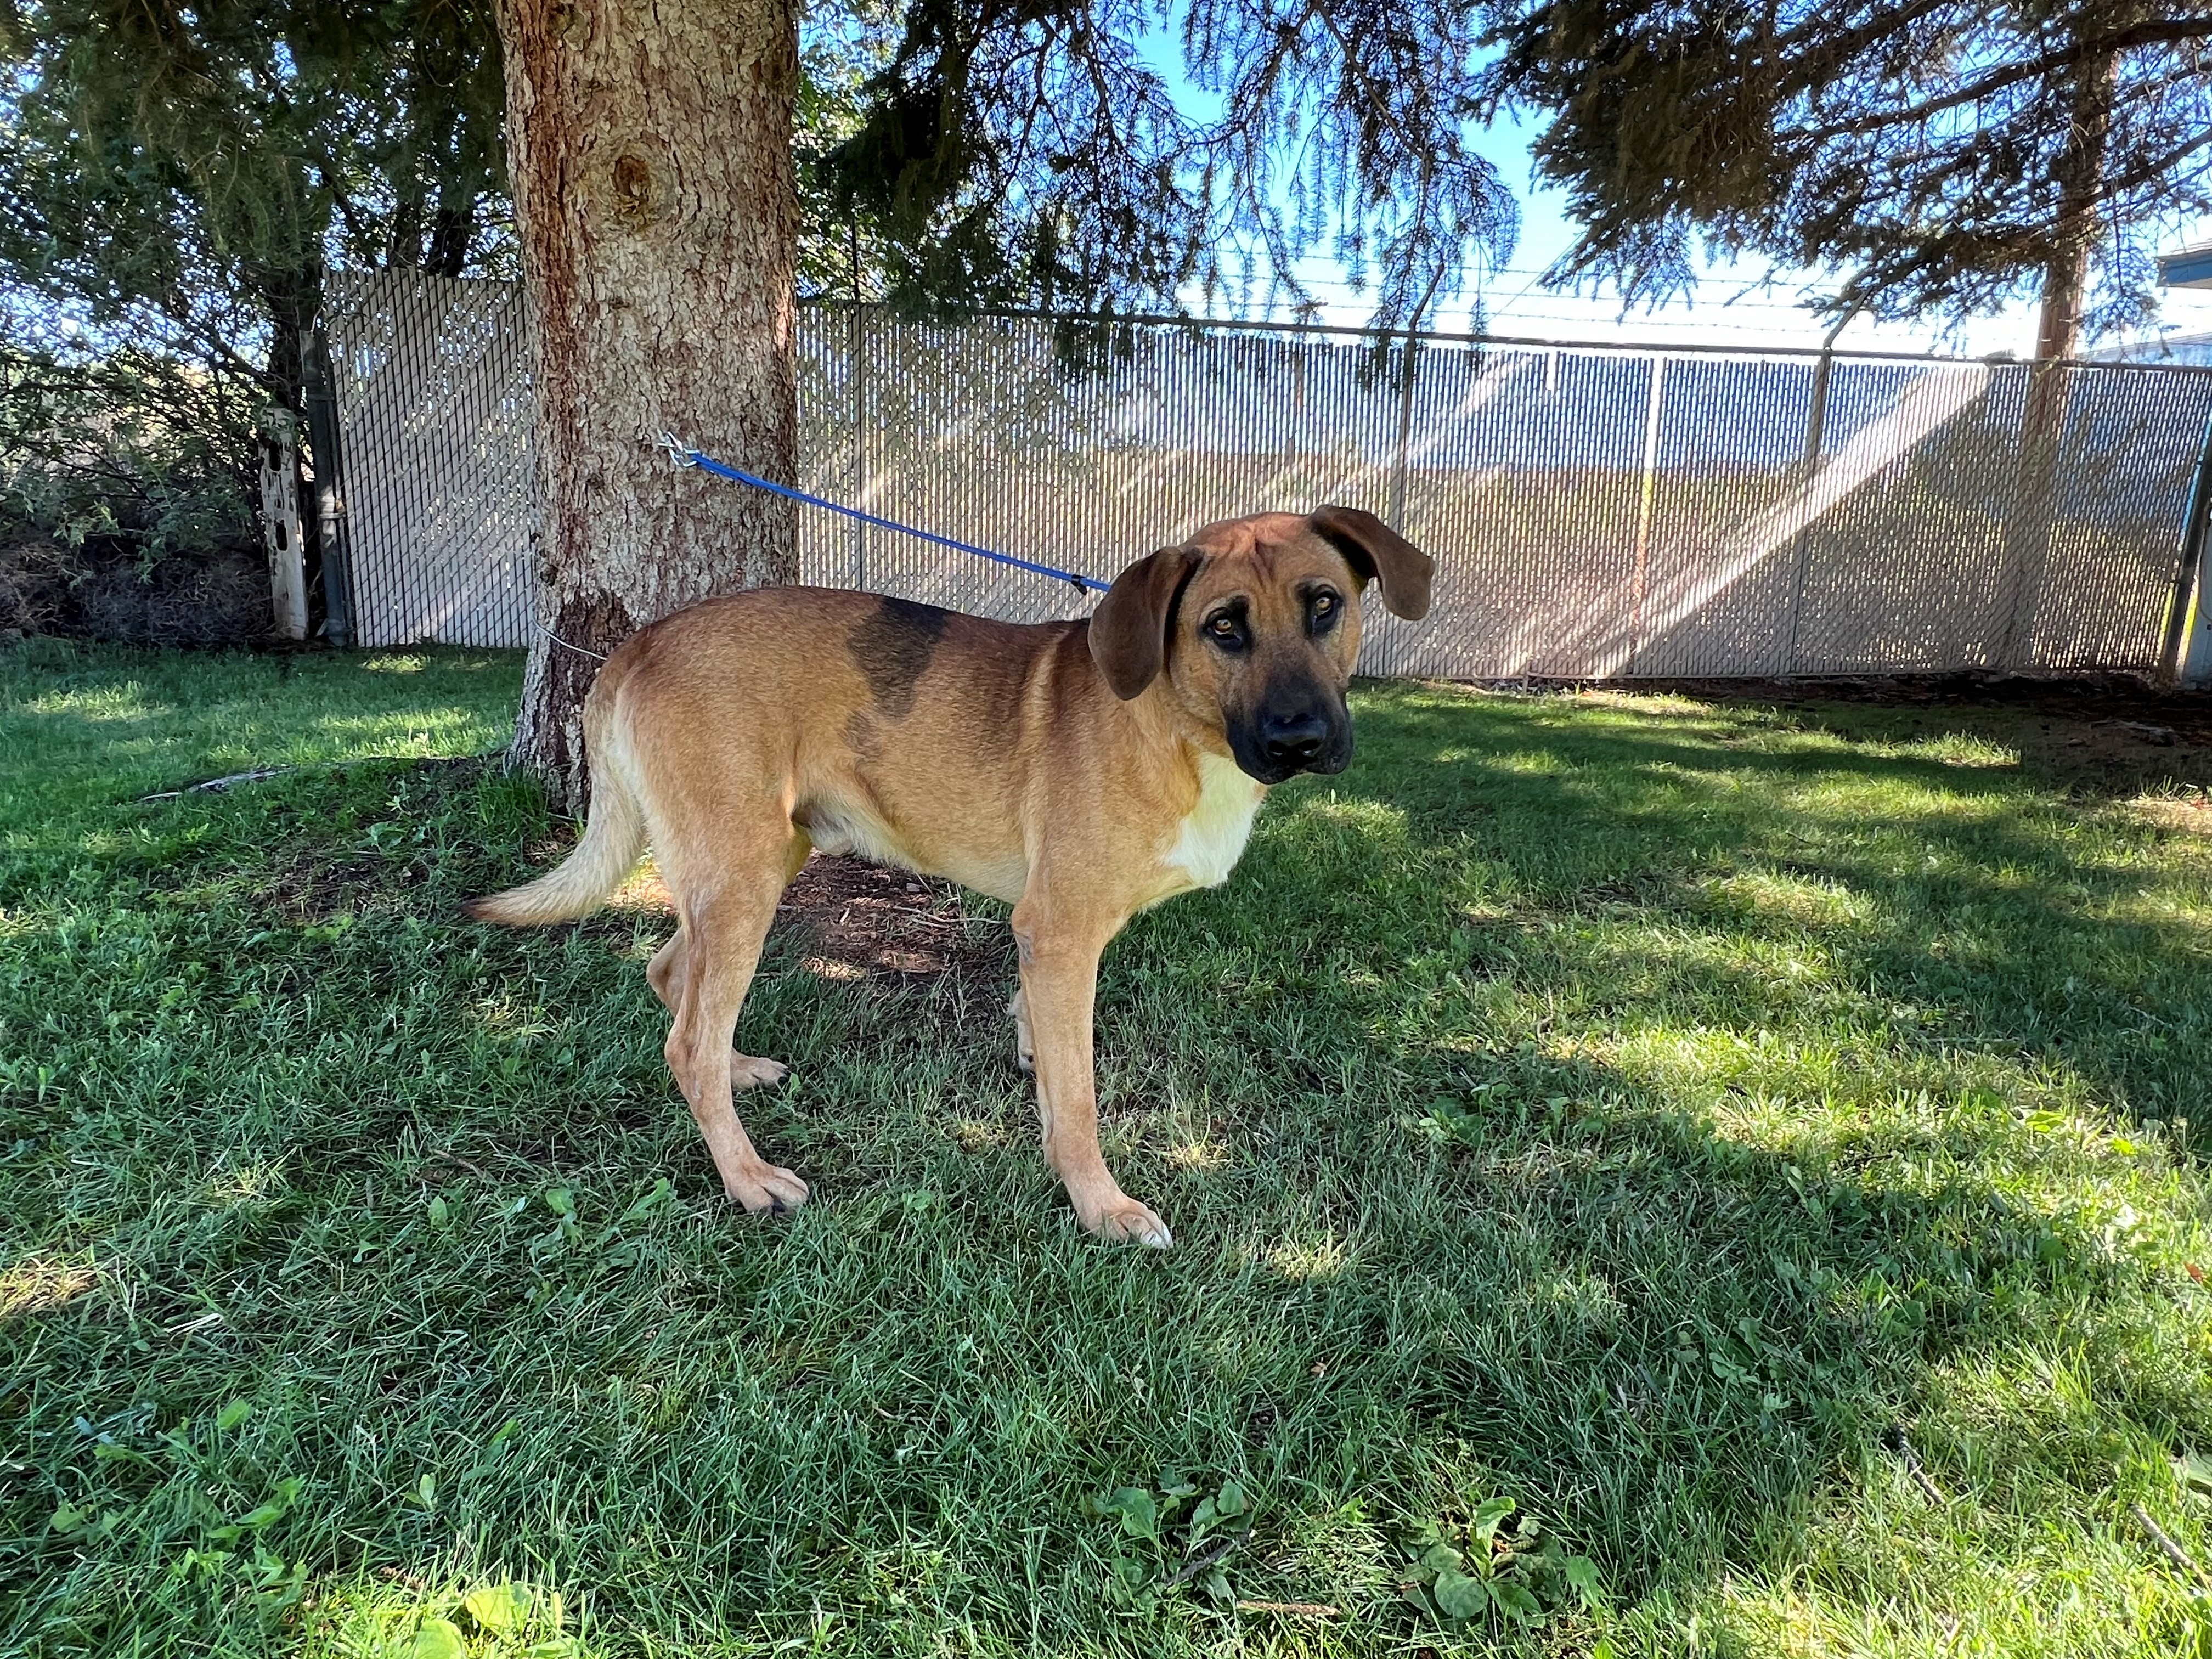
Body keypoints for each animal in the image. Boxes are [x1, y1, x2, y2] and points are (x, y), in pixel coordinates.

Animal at [466, 506, 1433, 1248]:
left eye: (1324, 607)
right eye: (1223, 627)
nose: (1301, 739)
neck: (1173, 722)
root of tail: (641, 643)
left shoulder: (1045, 942)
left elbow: (1047, 1055)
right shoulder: (1062, 932)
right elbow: (1079, 1100)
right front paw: (1102, 1207)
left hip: (760, 863)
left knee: (674, 979)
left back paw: (739, 1072)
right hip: (744, 878)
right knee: (686, 1042)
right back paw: (748, 1177)